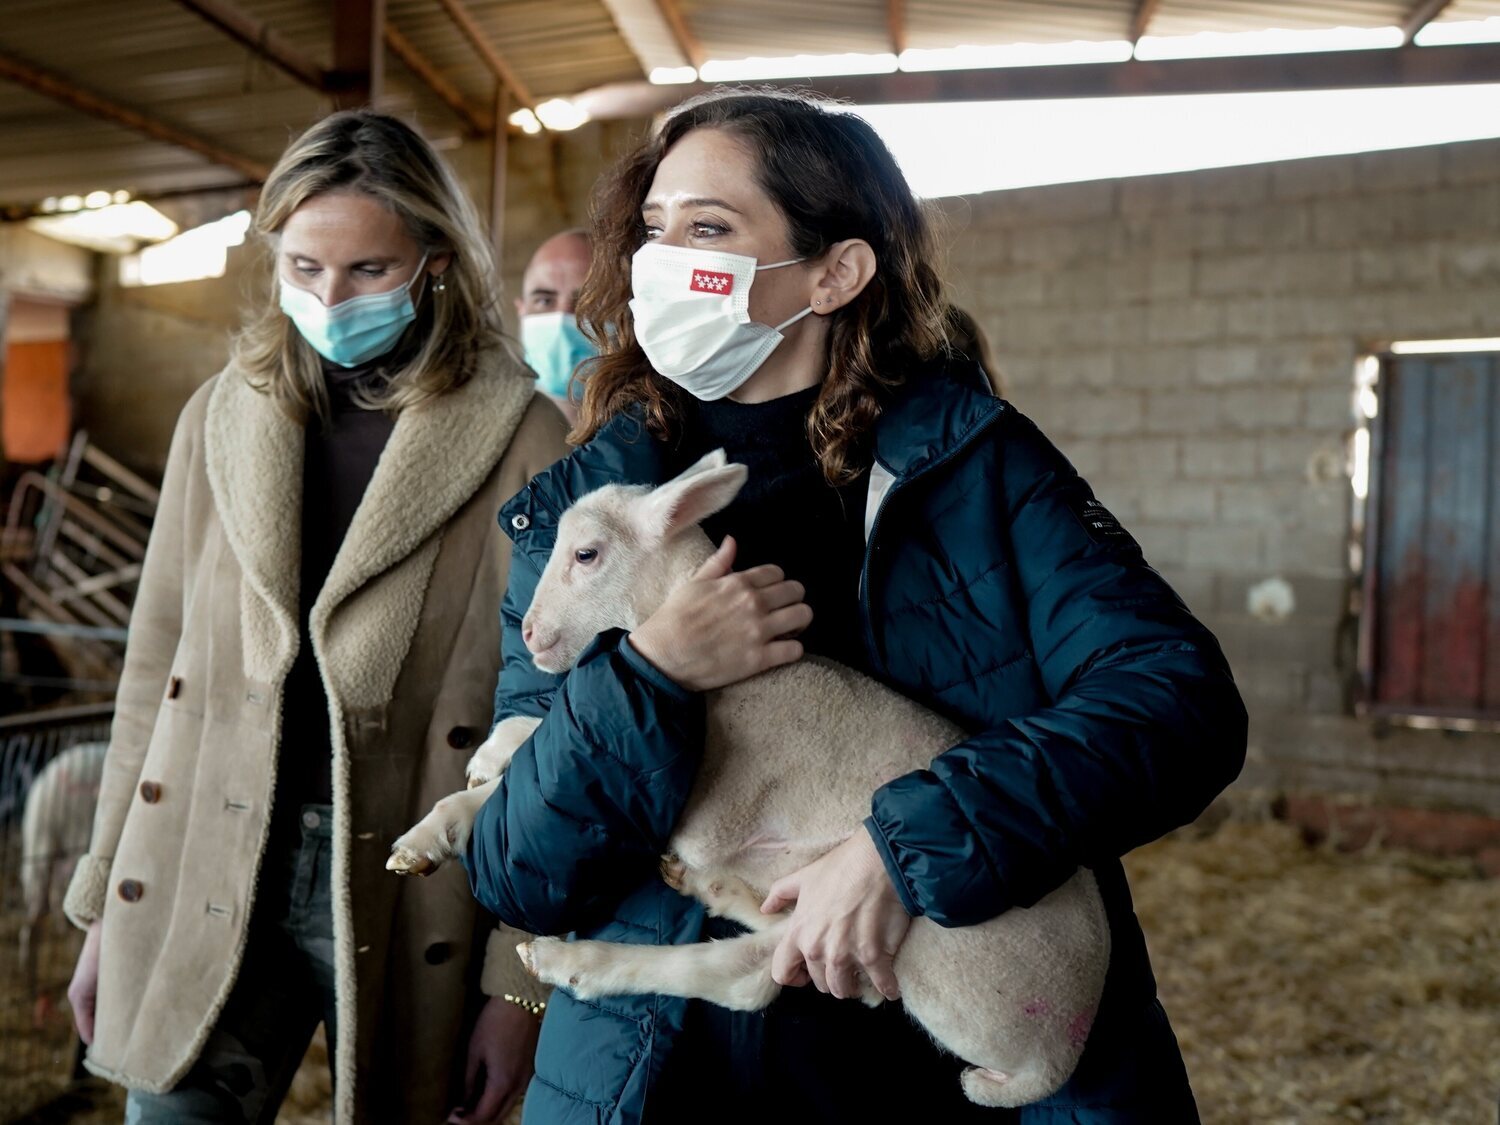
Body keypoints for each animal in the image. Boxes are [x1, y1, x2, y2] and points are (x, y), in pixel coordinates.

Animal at [390, 450, 1116, 1110]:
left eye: (587, 554)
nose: (534, 636)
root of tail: (1059, 1052)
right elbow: (530, 749)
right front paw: (469, 782)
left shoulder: (702, 799)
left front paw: (452, 808)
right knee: (762, 962)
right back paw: (710, 890)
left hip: (914, 933)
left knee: (750, 977)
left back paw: (576, 960)